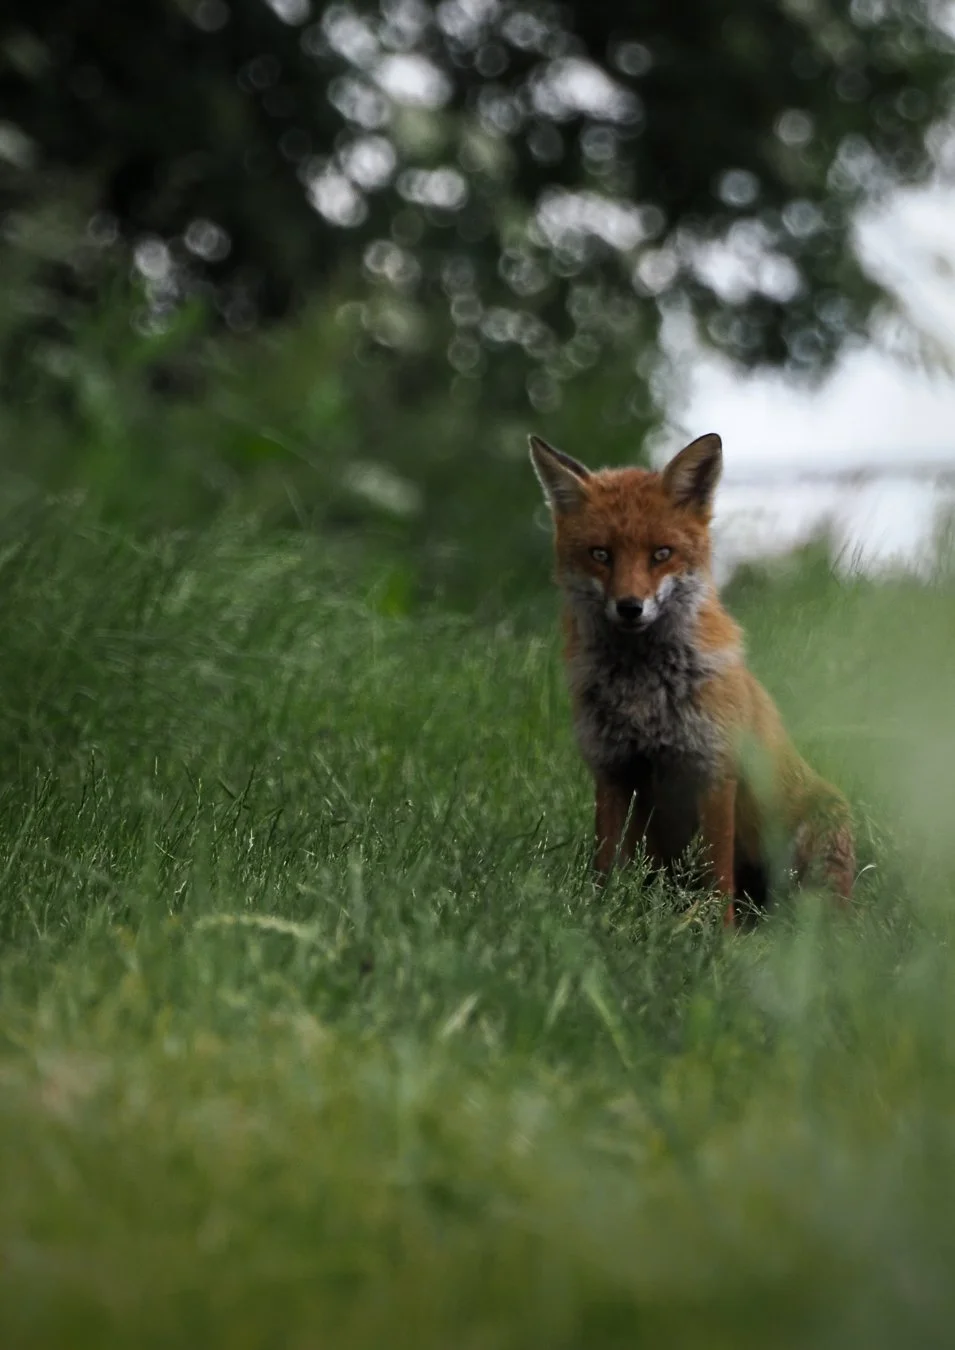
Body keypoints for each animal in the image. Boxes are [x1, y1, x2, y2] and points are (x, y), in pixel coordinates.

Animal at [529, 430, 855, 926]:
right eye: (600, 554)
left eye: (661, 554)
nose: (629, 607)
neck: (643, 693)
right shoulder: (612, 770)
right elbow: (606, 866)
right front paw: (600, 921)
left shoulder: (714, 769)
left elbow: (718, 877)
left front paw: (719, 938)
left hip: (818, 835)